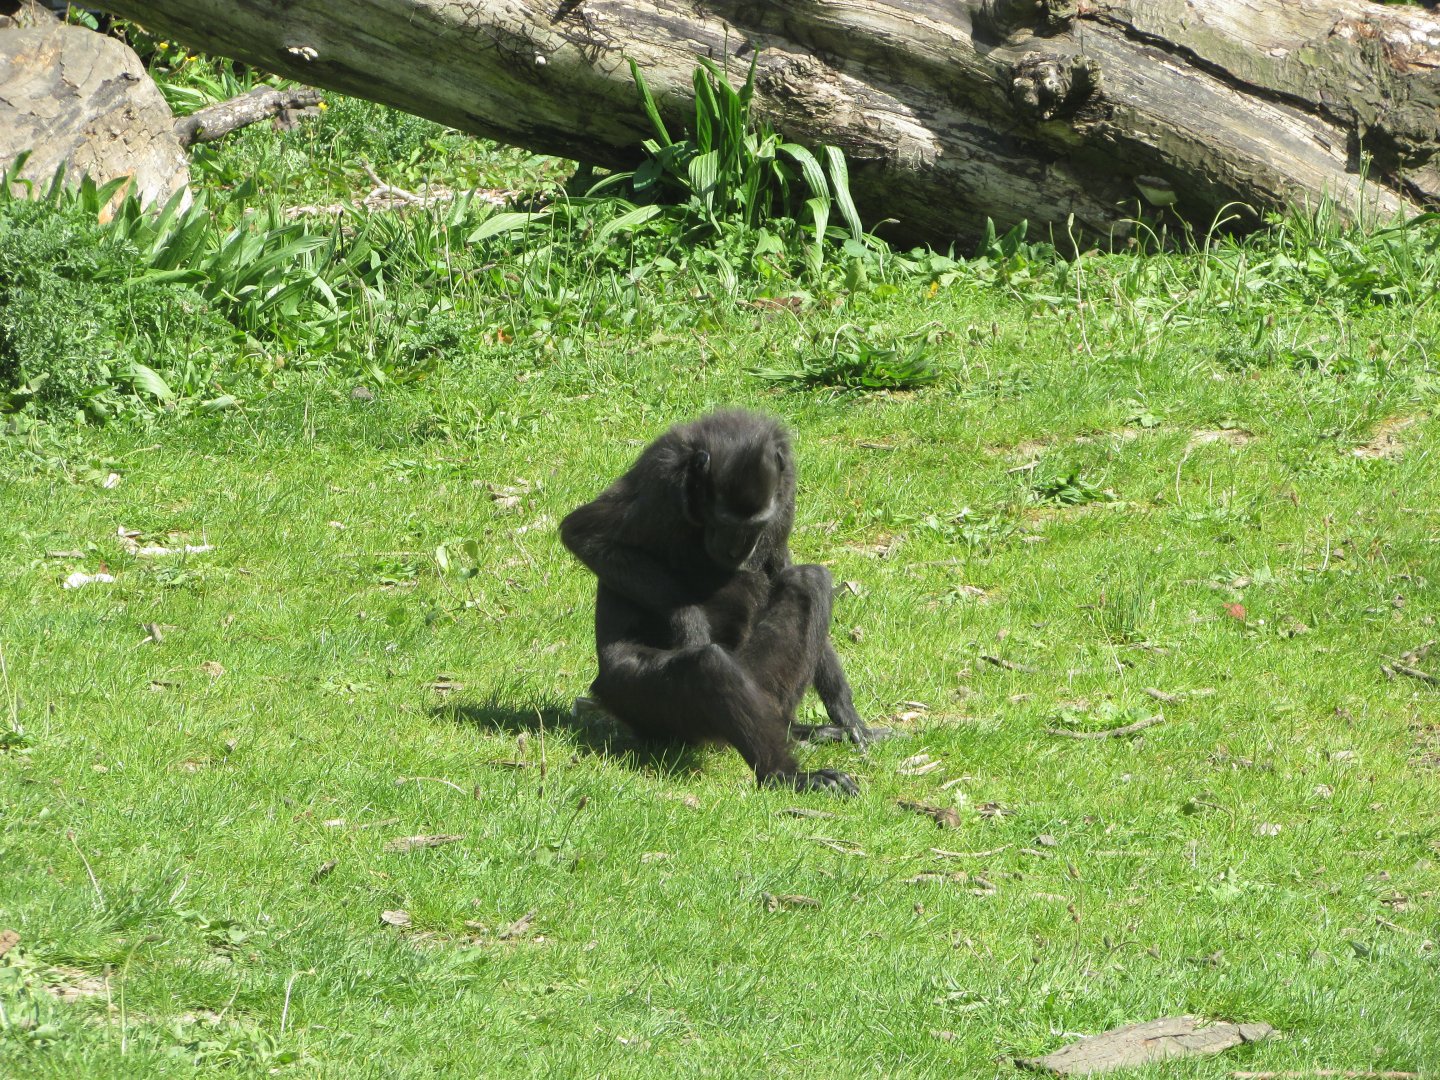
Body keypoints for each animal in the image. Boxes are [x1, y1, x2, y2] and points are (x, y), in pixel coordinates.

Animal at [560, 409, 883, 794]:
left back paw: (798, 732)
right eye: (726, 523)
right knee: (710, 664)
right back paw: (784, 773)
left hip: (762, 684)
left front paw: (847, 713)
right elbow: (583, 534)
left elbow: (782, 565)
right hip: (639, 702)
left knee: (809, 581)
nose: (737, 550)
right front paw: (689, 620)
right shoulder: (661, 478)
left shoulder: (785, 492)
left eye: (754, 527)